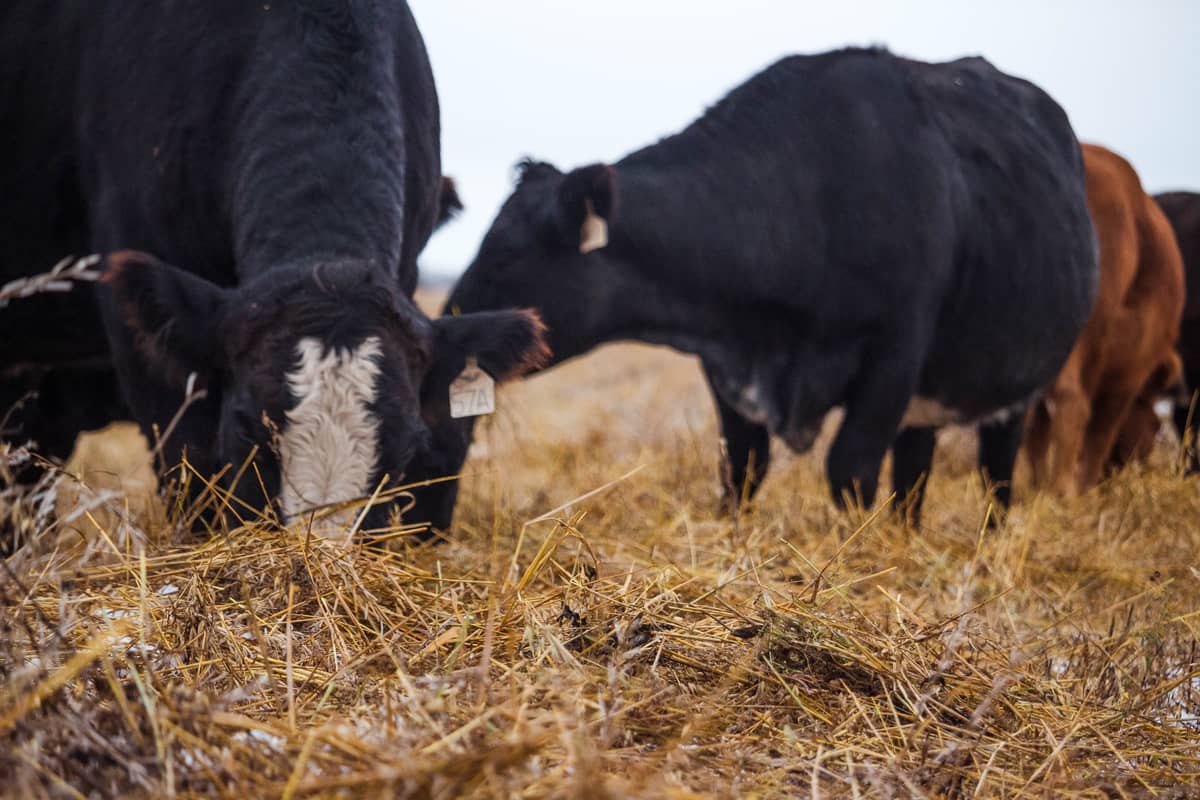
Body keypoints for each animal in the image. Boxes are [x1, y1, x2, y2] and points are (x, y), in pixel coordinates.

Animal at [446, 48, 1098, 521]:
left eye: (504, 256)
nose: (452, 315)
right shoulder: (728, 370)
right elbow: (743, 467)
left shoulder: (894, 355)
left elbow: (851, 469)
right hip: (928, 402)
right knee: (914, 475)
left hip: (1015, 386)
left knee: (997, 473)